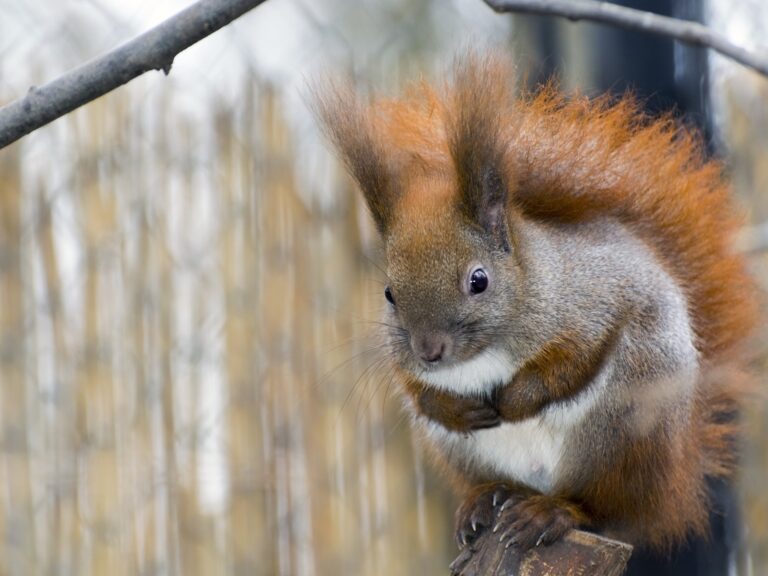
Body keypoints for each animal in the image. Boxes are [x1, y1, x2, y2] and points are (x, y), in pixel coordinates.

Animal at [313, 52, 759, 567]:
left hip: (622, 428)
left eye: (478, 280)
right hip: (468, 455)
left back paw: (551, 512)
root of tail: (674, 485)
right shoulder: (404, 361)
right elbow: (415, 388)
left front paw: (514, 400)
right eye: (388, 293)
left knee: (602, 508)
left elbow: (573, 361)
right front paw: (455, 407)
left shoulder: (595, 301)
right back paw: (483, 502)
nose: (430, 351)